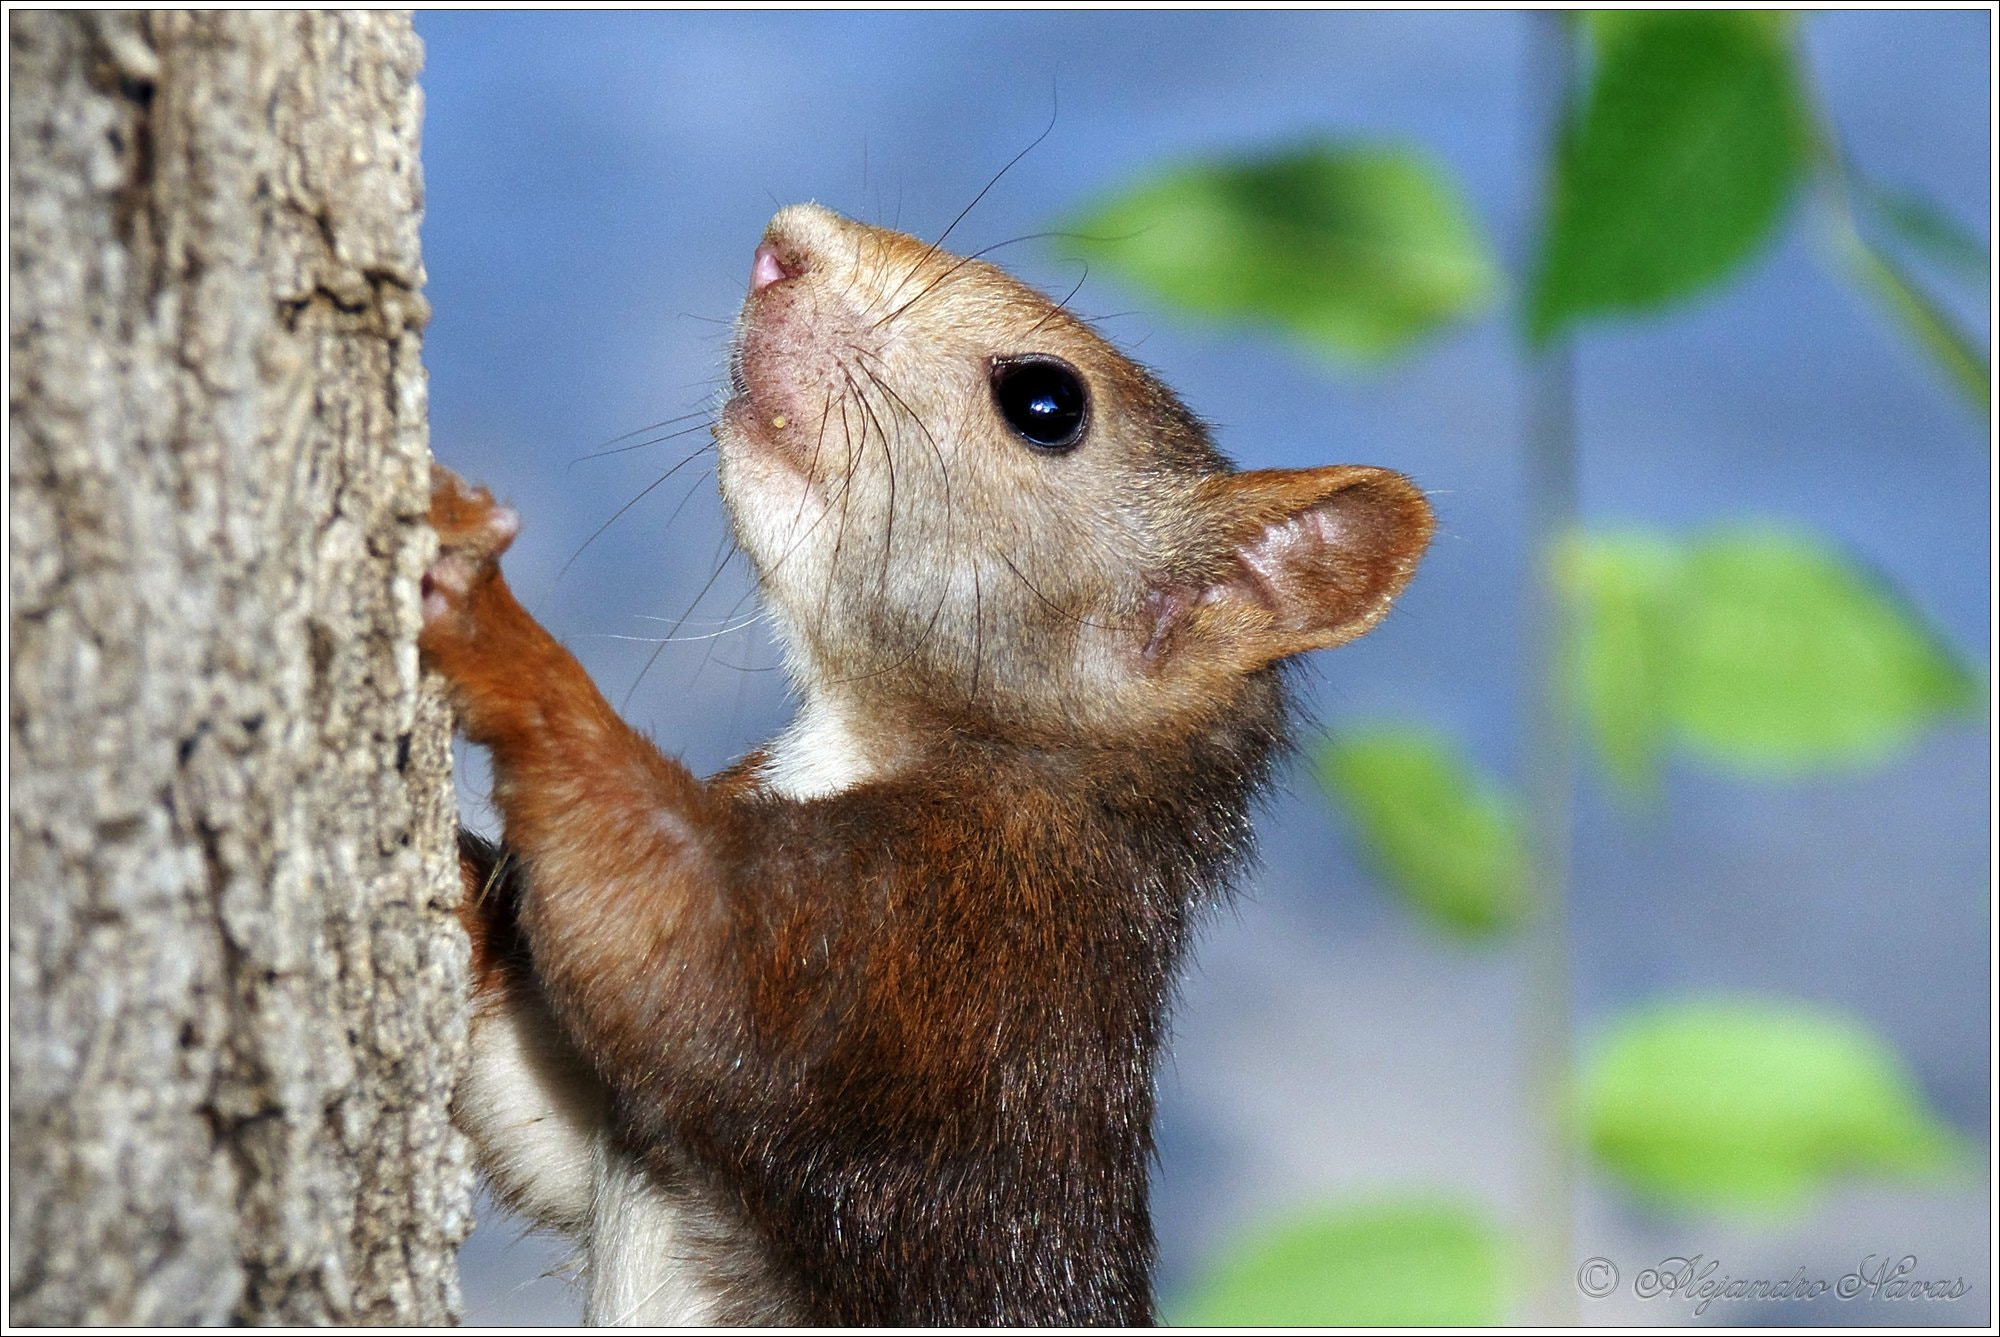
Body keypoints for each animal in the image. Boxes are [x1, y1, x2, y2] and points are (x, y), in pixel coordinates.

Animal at [422, 204, 1432, 1320]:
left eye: (1046, 402)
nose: (785, 245)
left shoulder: (934, 955)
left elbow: (672, 941)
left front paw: (491, 620)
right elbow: (535, 1105)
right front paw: (460, 876)